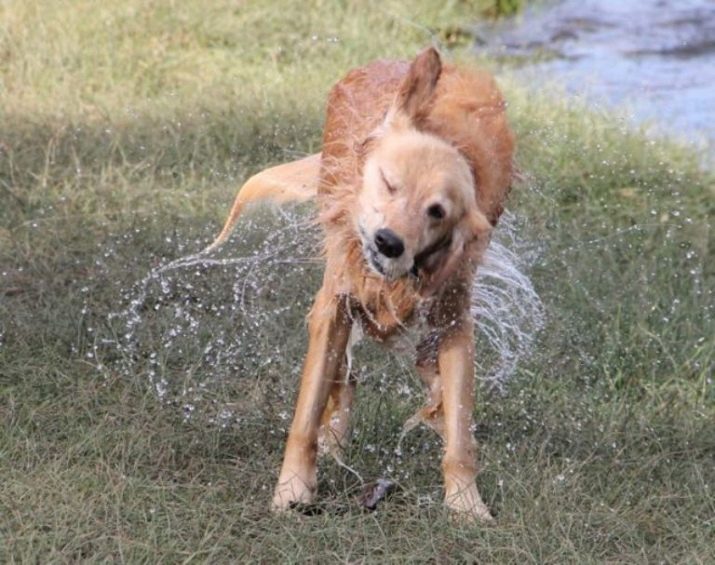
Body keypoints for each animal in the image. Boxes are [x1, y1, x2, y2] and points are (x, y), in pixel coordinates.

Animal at [207, 48, 516, 520]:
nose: (389, 242)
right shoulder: (337, 298)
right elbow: (307, 413)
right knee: (342, 380)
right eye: (390, 182)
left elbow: (460, 429)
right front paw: (292, 490)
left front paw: (466, 504)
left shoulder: (452, 312)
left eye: (437, 212)